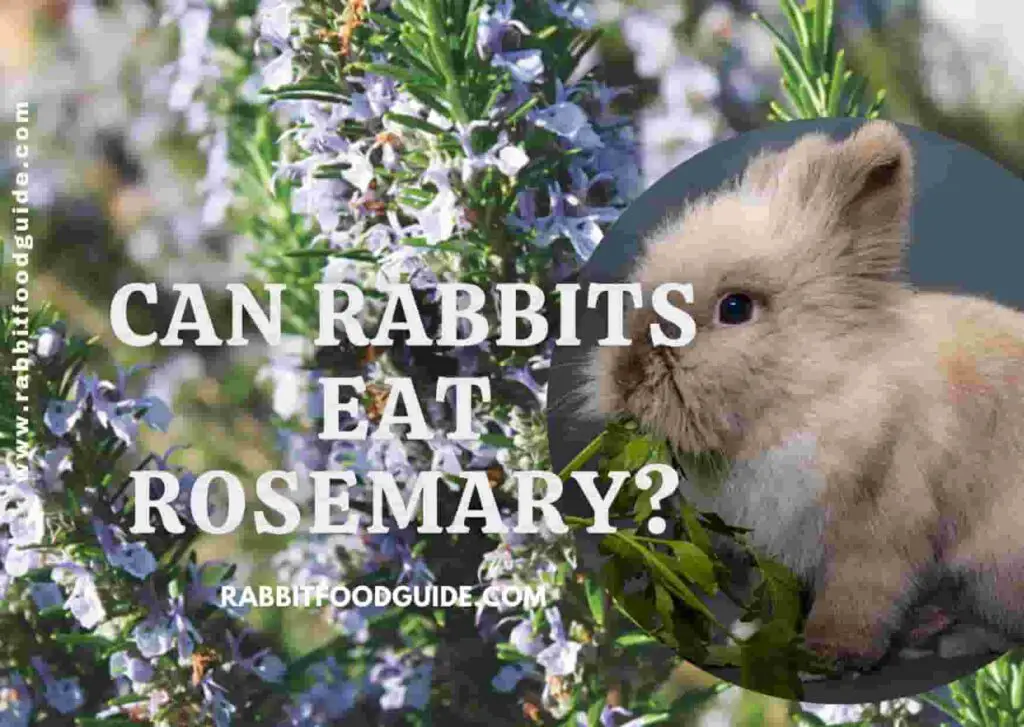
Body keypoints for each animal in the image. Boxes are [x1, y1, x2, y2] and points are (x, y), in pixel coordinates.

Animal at [585, 120, 1024, 667]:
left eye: (735, 308)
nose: (627, 378)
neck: (809, 396)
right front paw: (753, 636)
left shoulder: (879, 527)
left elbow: (858, 598)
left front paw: (827, 657)